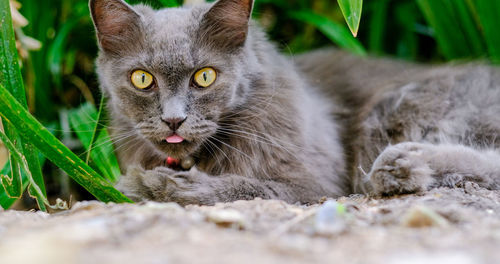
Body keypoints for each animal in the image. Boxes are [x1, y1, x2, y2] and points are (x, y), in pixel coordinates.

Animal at [89, 0, 500, 205]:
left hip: (399, 106)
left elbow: (245, 188)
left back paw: (403, 165)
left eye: (204, 76)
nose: (174, 120)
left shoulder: (313, 182)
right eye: (142, 79)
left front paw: (149, 185)